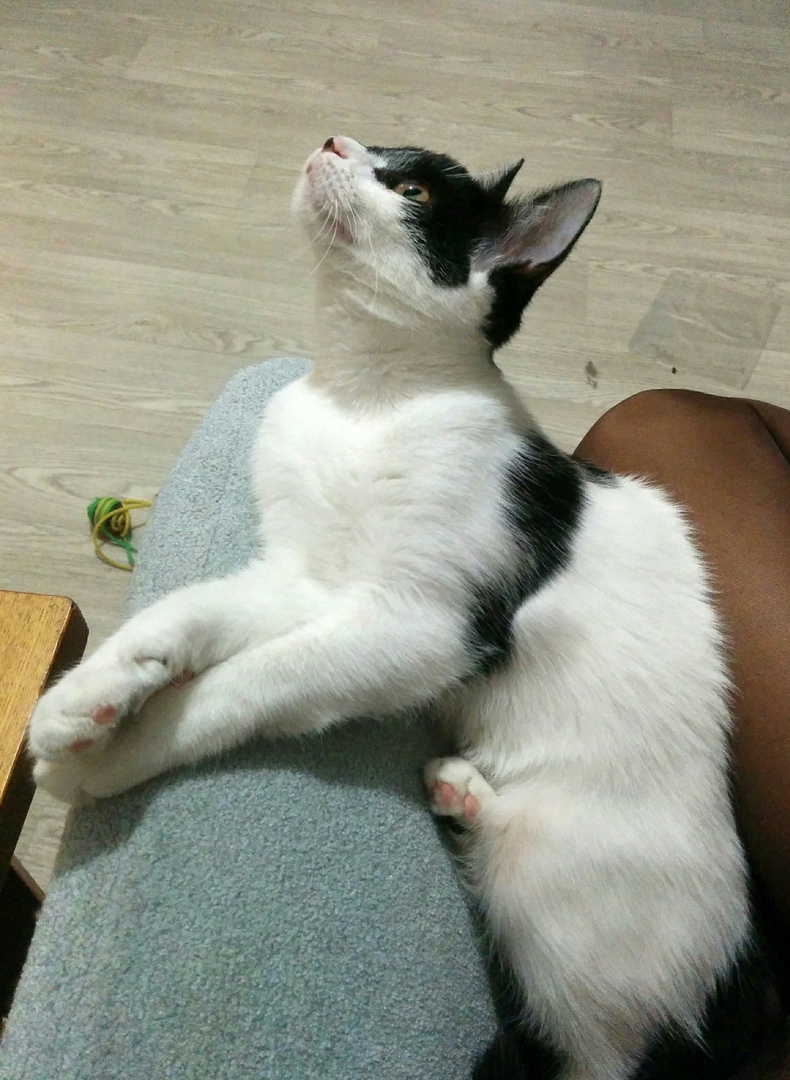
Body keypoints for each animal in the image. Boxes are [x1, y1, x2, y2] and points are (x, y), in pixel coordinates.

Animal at [29, 135, 777, 1079]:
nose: (334, 139)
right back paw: (461, 793)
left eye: (413, 188)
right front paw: (83, 705)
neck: (365, 397)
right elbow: (194, 612)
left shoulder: (421, 628)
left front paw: (118, 755)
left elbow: (254, 682)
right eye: (379, 149)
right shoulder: (305, 577)